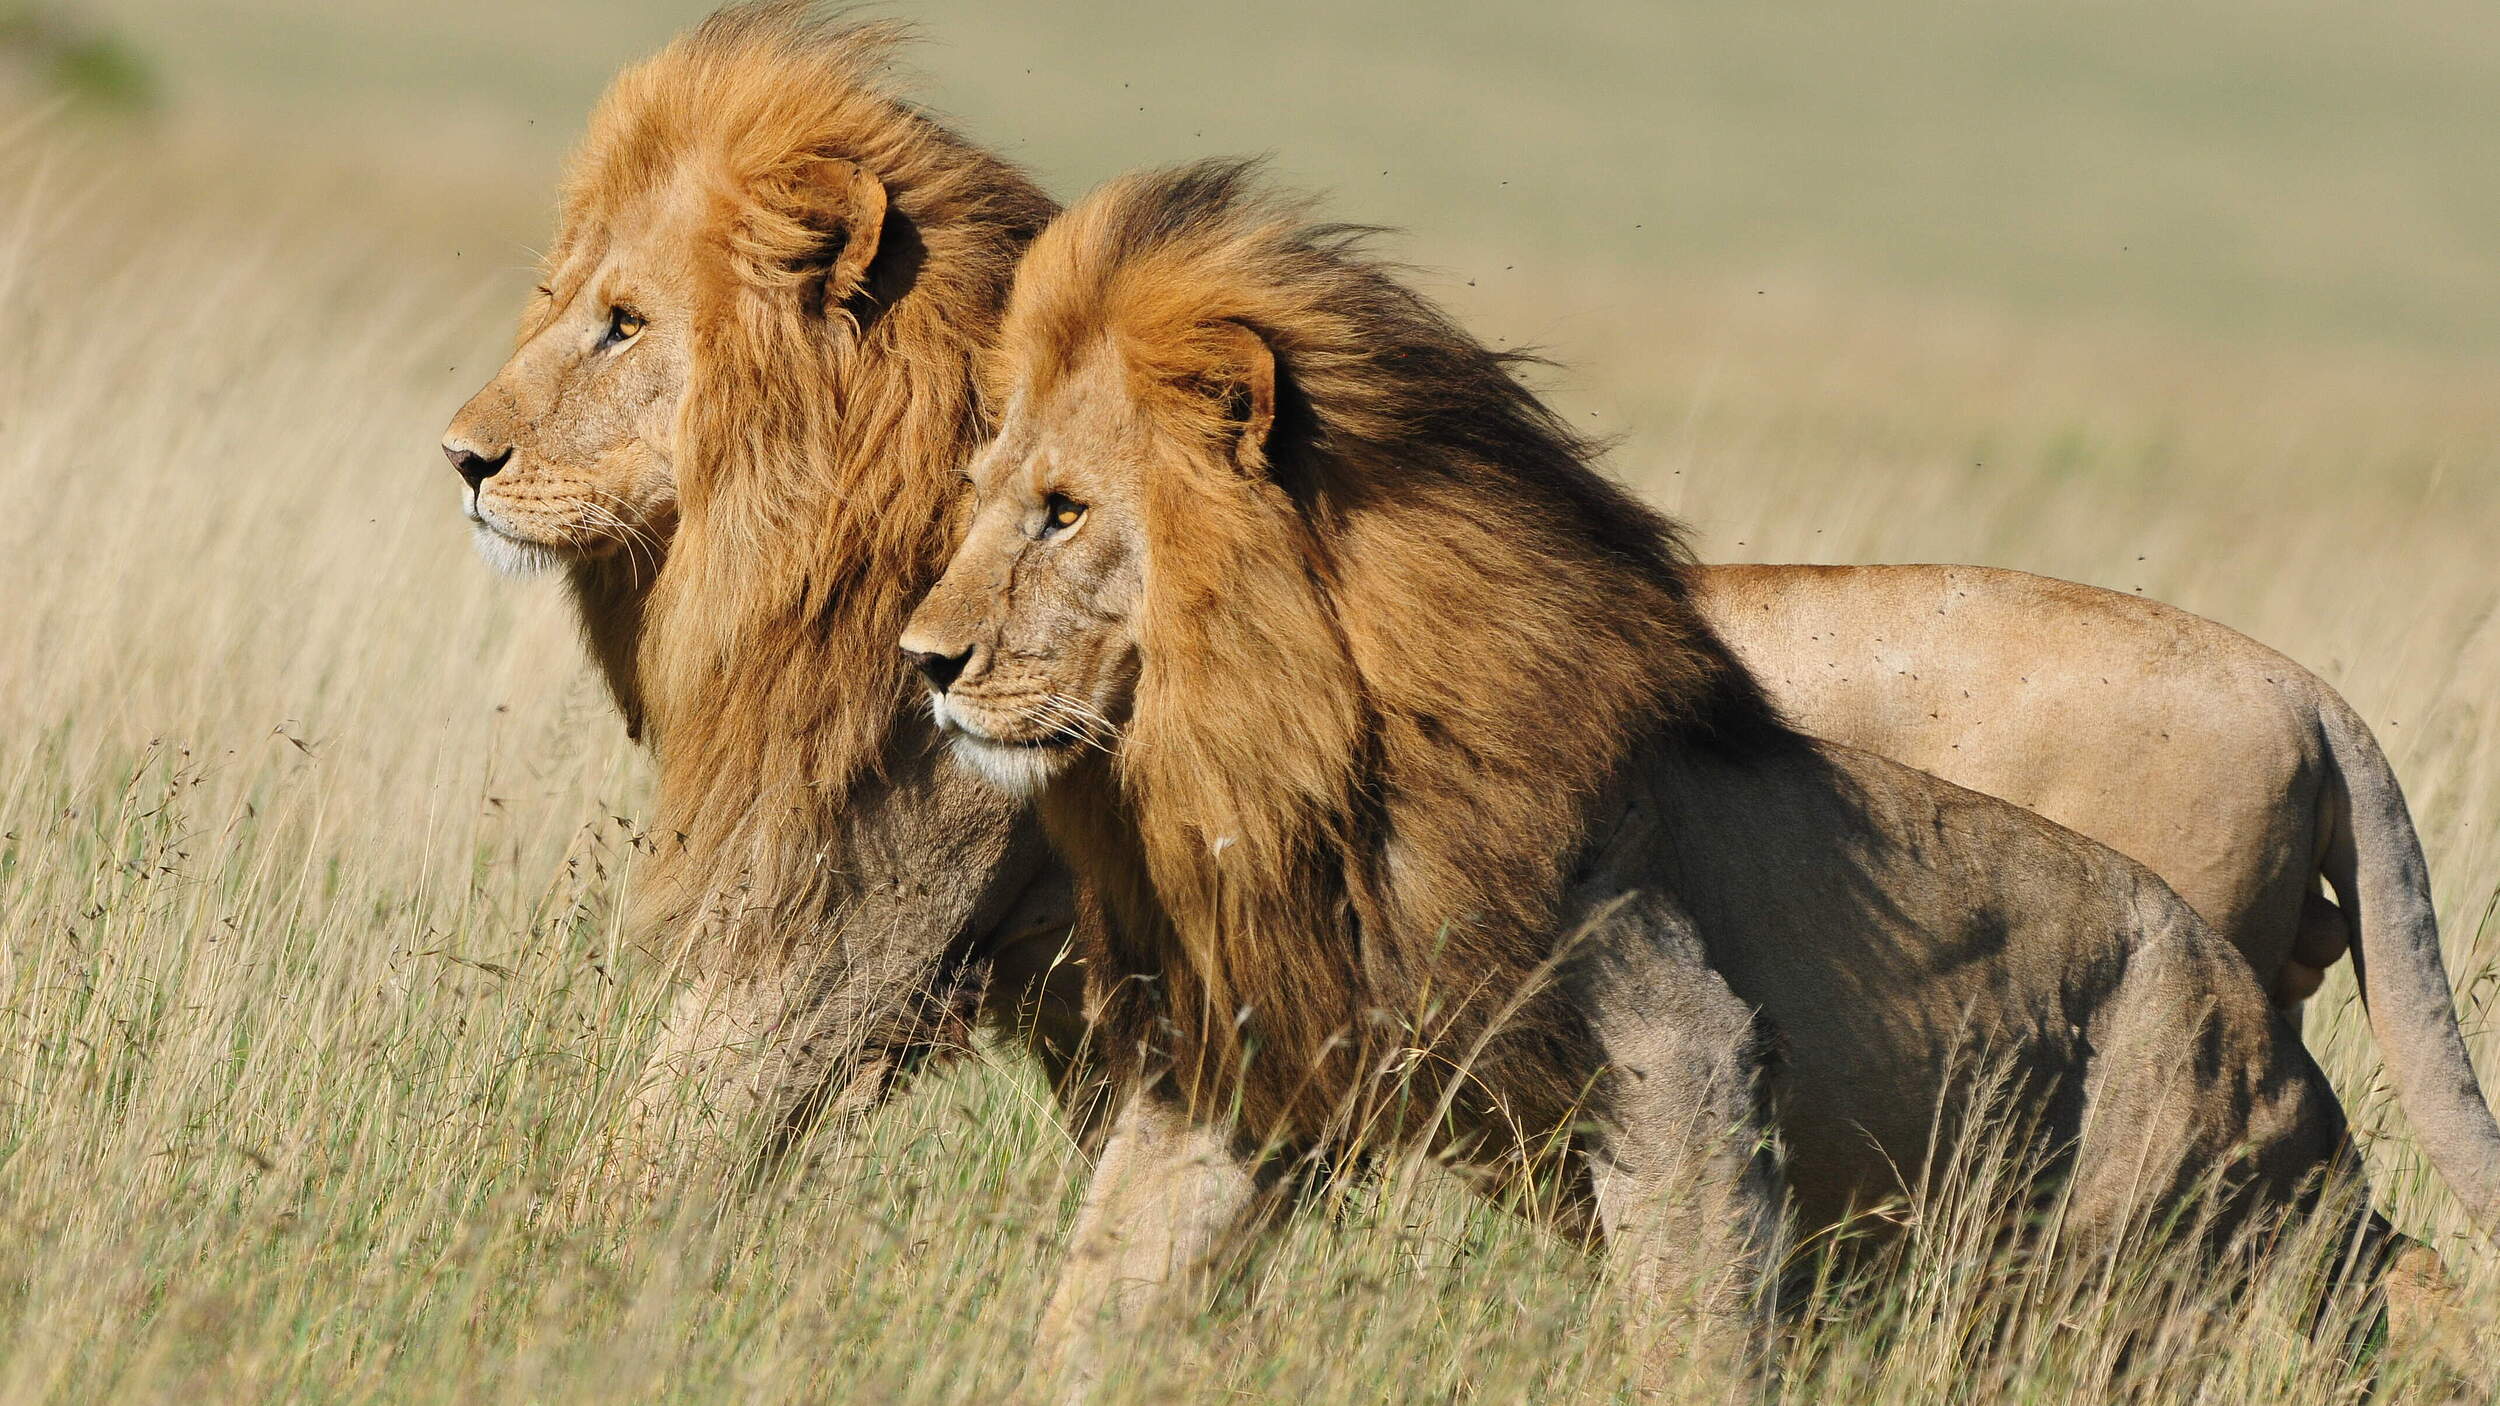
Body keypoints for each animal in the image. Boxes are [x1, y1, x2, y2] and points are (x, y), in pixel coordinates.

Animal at [897, 160, 2450, 1389]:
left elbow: (1690, 1325)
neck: (1271, 739)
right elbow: (1103, 1291)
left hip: (2143, 1240)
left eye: (1063, 514)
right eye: (979, 502)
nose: (923, 659)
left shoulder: (1683, 1042)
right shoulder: (1251, 1067)